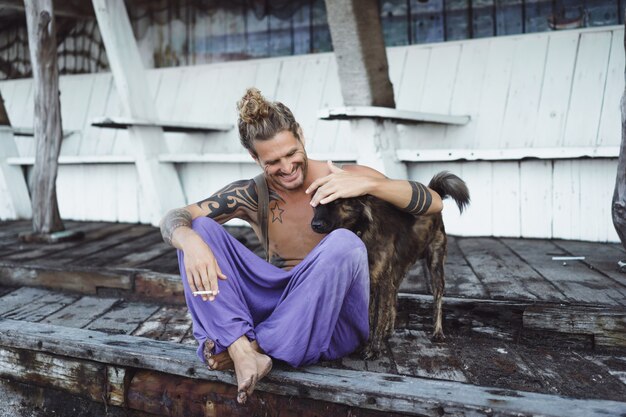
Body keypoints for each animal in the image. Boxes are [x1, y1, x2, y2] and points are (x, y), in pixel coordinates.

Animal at [310, 171, 466, 356]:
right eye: (315, 205)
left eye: (335, 201)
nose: (315, 225)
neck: (361, 230)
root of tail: (432, 191)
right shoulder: (371, 280)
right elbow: (370, 316)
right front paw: (368, 342)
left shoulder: (382, 282)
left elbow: (378, 317)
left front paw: (374, 348)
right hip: (398, 272)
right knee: (394, 299)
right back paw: (389, 330)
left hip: (435, 267)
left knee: (438, 301)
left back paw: (437, 332)